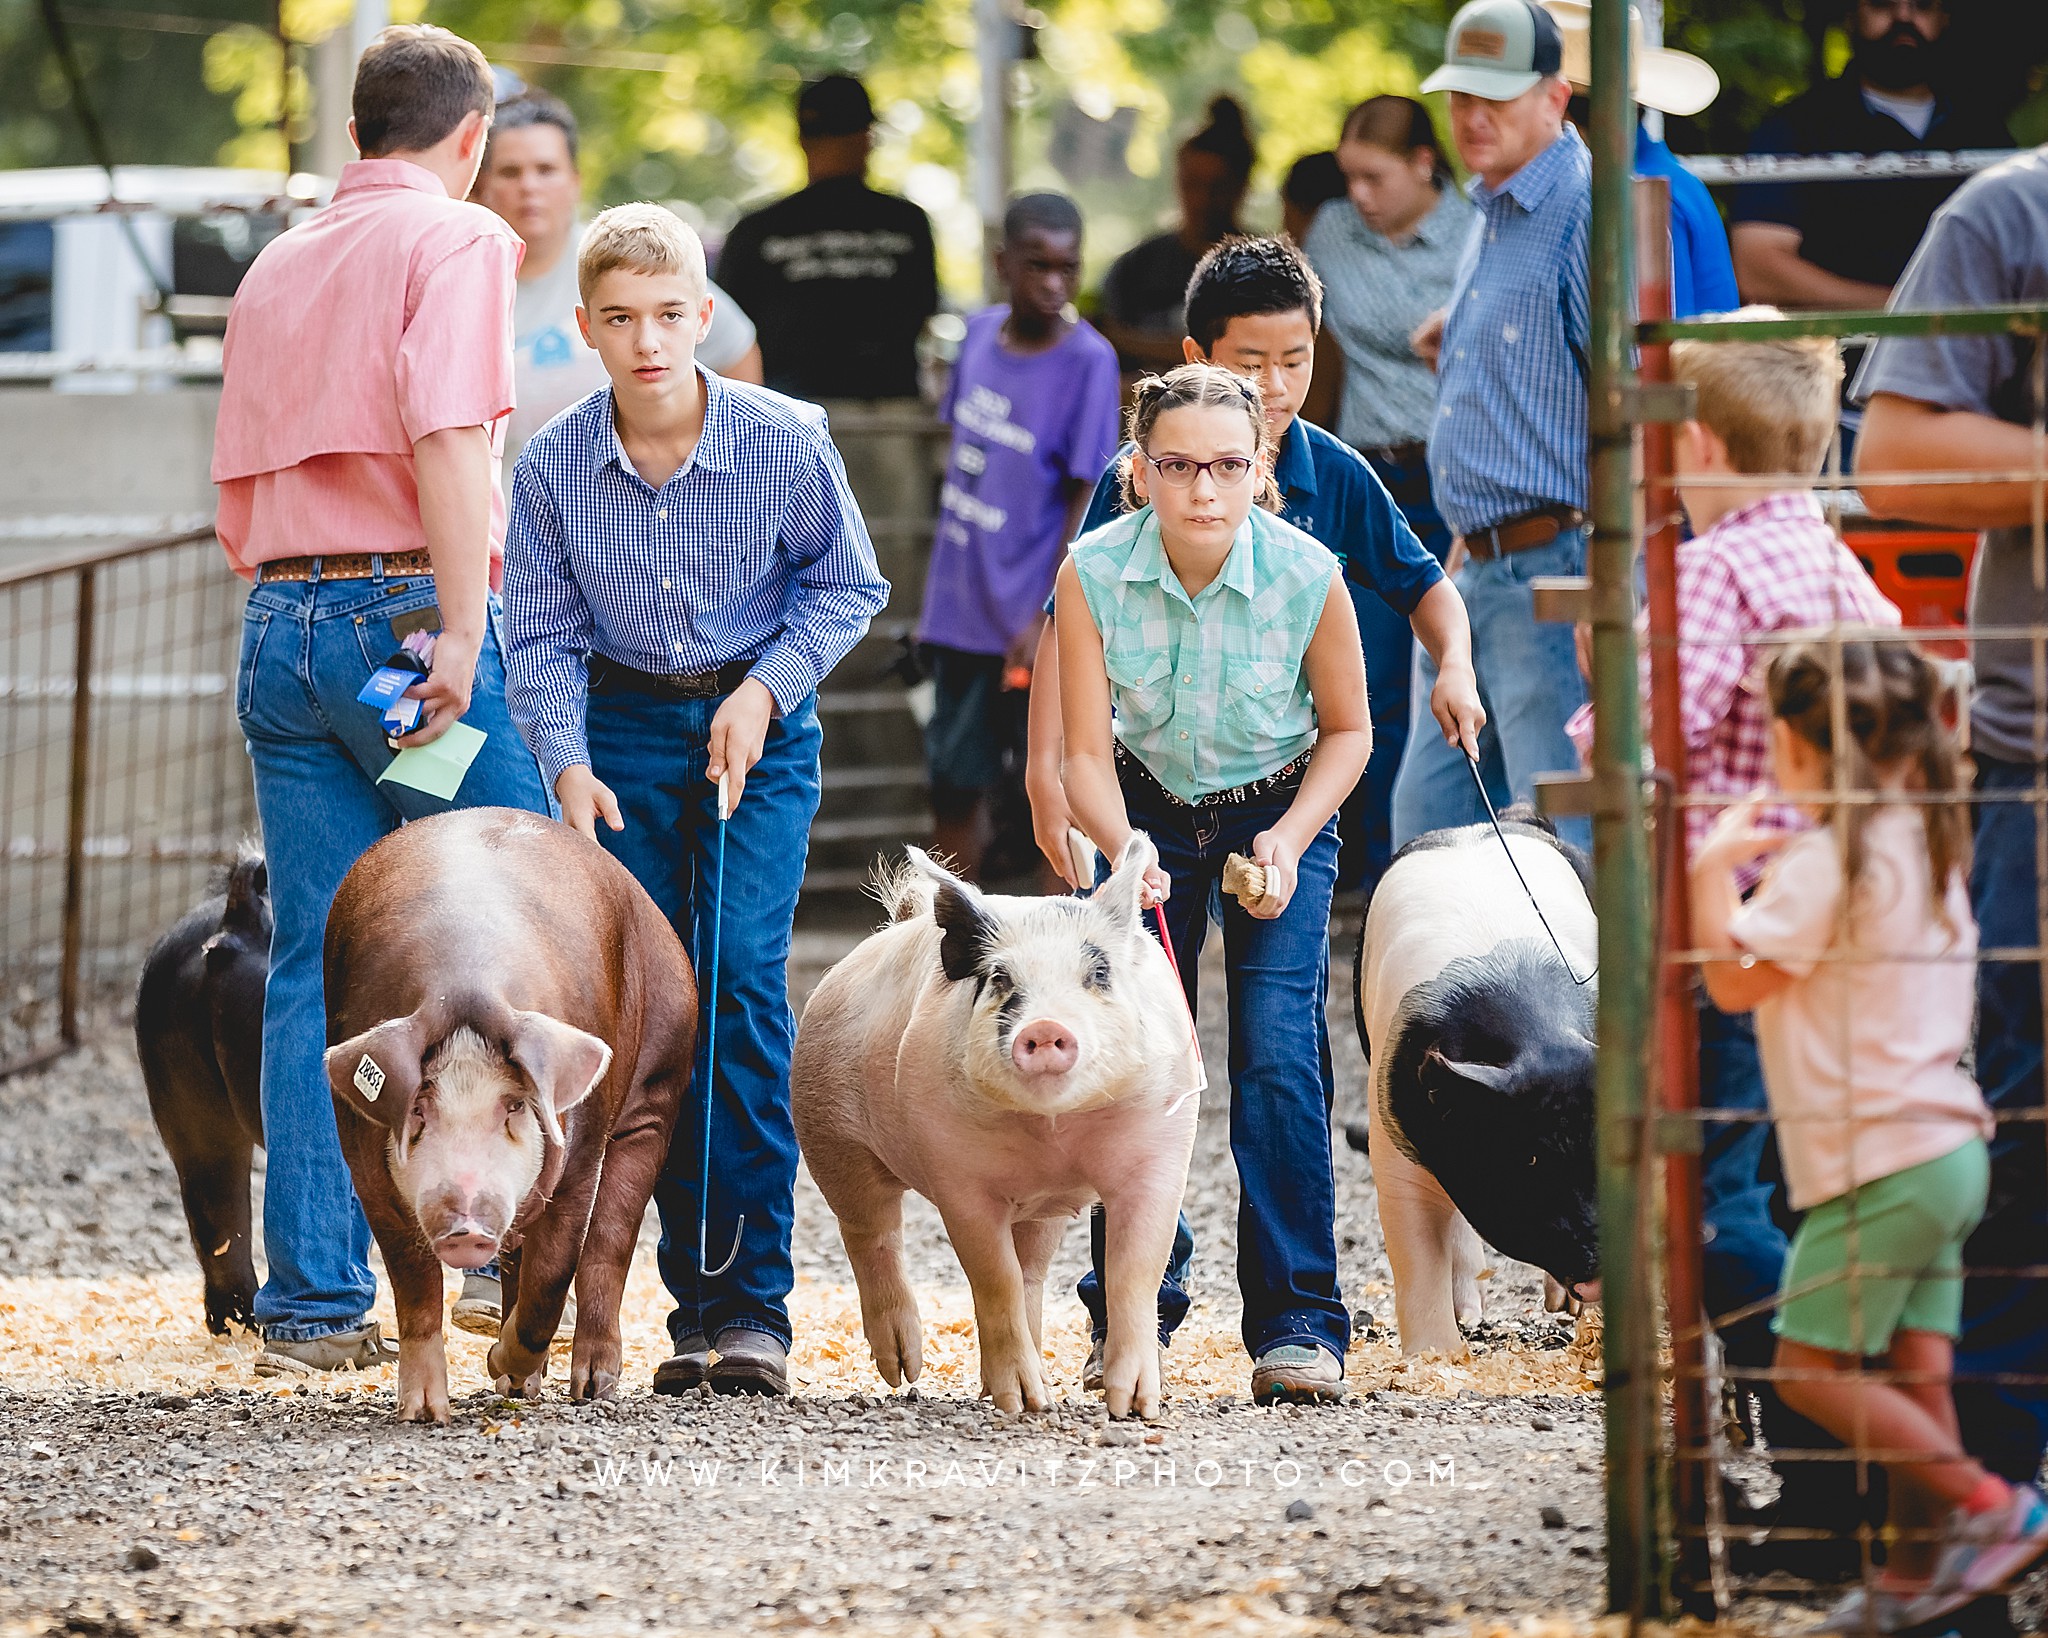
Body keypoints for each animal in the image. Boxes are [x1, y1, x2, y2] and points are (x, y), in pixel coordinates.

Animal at [321, 810, 696, 1416]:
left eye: (515, 1105)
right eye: (420, 1106)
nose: (467, 1227)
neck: (465, 987)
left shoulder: (579, 1148)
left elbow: (555, 1272)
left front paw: (502, 1364)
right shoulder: (364, 1155)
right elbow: (413, 1278)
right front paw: (424, 1412)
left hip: (658, 1090)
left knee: (609, 1242)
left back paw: (592, 1387)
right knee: (521, 1255)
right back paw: (520, 1386)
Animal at [1359, 818, 1597, 1359]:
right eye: (1529, 1157)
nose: (1596, 1260)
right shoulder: (1390, 1134)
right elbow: (1416, 1248)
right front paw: (1437, 1357)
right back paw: (1470, 1315)